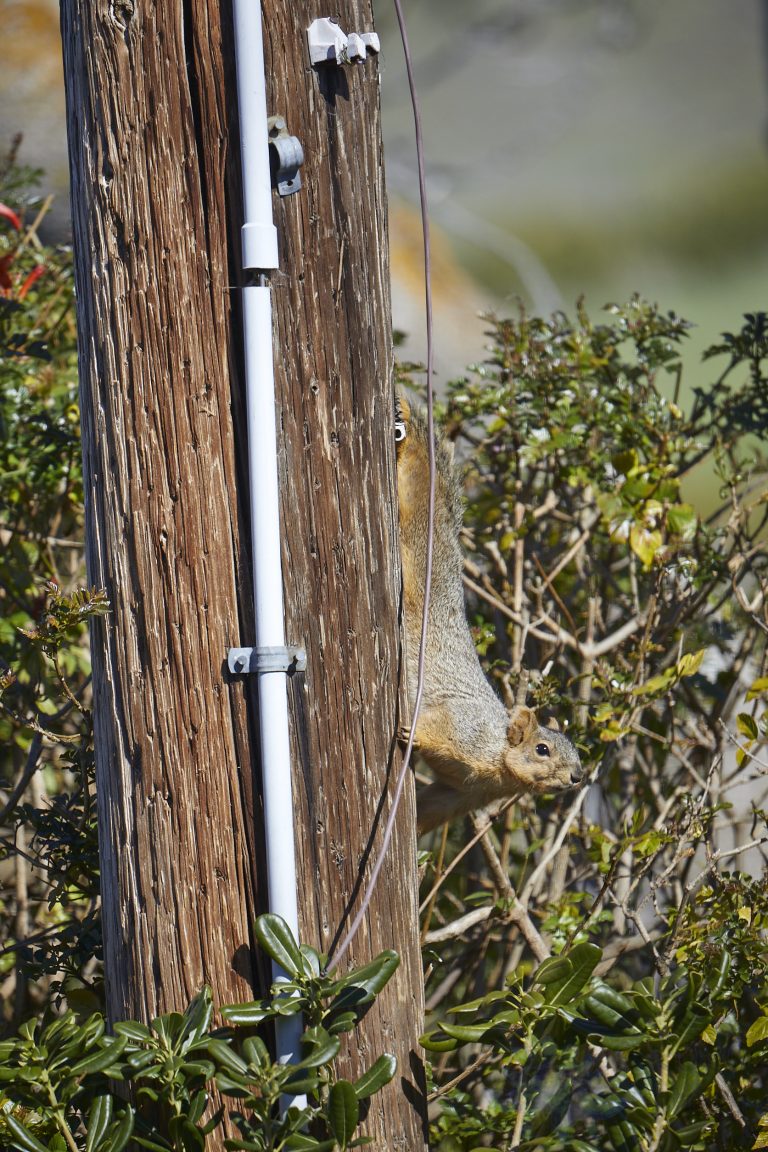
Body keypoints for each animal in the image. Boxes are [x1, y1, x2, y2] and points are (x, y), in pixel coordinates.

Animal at [395, 393, 583, 834]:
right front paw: (411, 733)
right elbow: (433, 724)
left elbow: (432, 807)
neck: (499, 764)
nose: (577, 777)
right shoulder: (464, 730)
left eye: (578, 755)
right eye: (542, 749)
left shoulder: (465, 794)